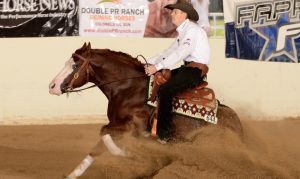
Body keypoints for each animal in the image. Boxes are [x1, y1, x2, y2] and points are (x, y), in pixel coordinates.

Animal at [48, 42, 241, 179]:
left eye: (75, 65)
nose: (52, 86)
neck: (128, 88)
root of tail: (236, 122)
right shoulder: (116, 125)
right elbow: (97, 148)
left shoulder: (132, 127)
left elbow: (104, 134)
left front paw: (131, 154)